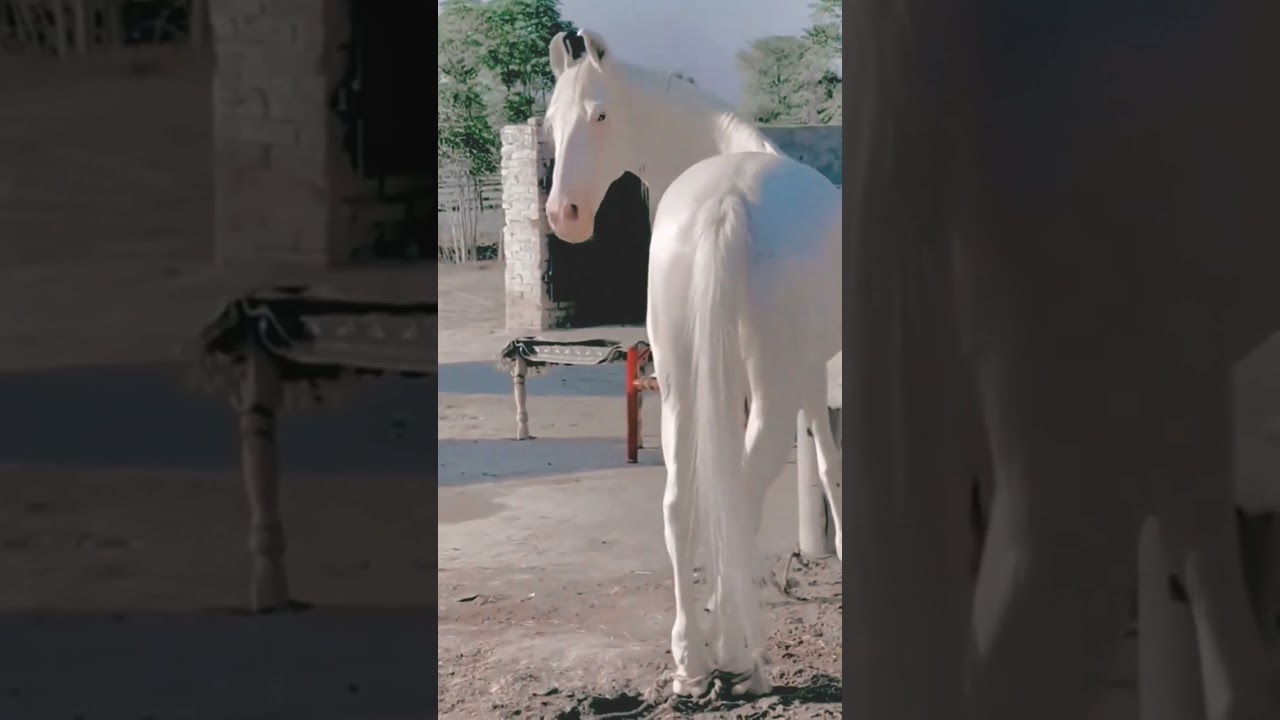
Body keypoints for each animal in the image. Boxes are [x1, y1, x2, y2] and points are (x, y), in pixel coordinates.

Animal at [544, 31, 843, 695]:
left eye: (600, 116)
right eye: (550, 123)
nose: (563, 214)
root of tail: (726, 200)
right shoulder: (803, 378)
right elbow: (825, 466)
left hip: (684, 383)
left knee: (682, 501)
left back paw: (693, 661)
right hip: (768, 388)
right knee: (742, 486)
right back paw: (737, 655)